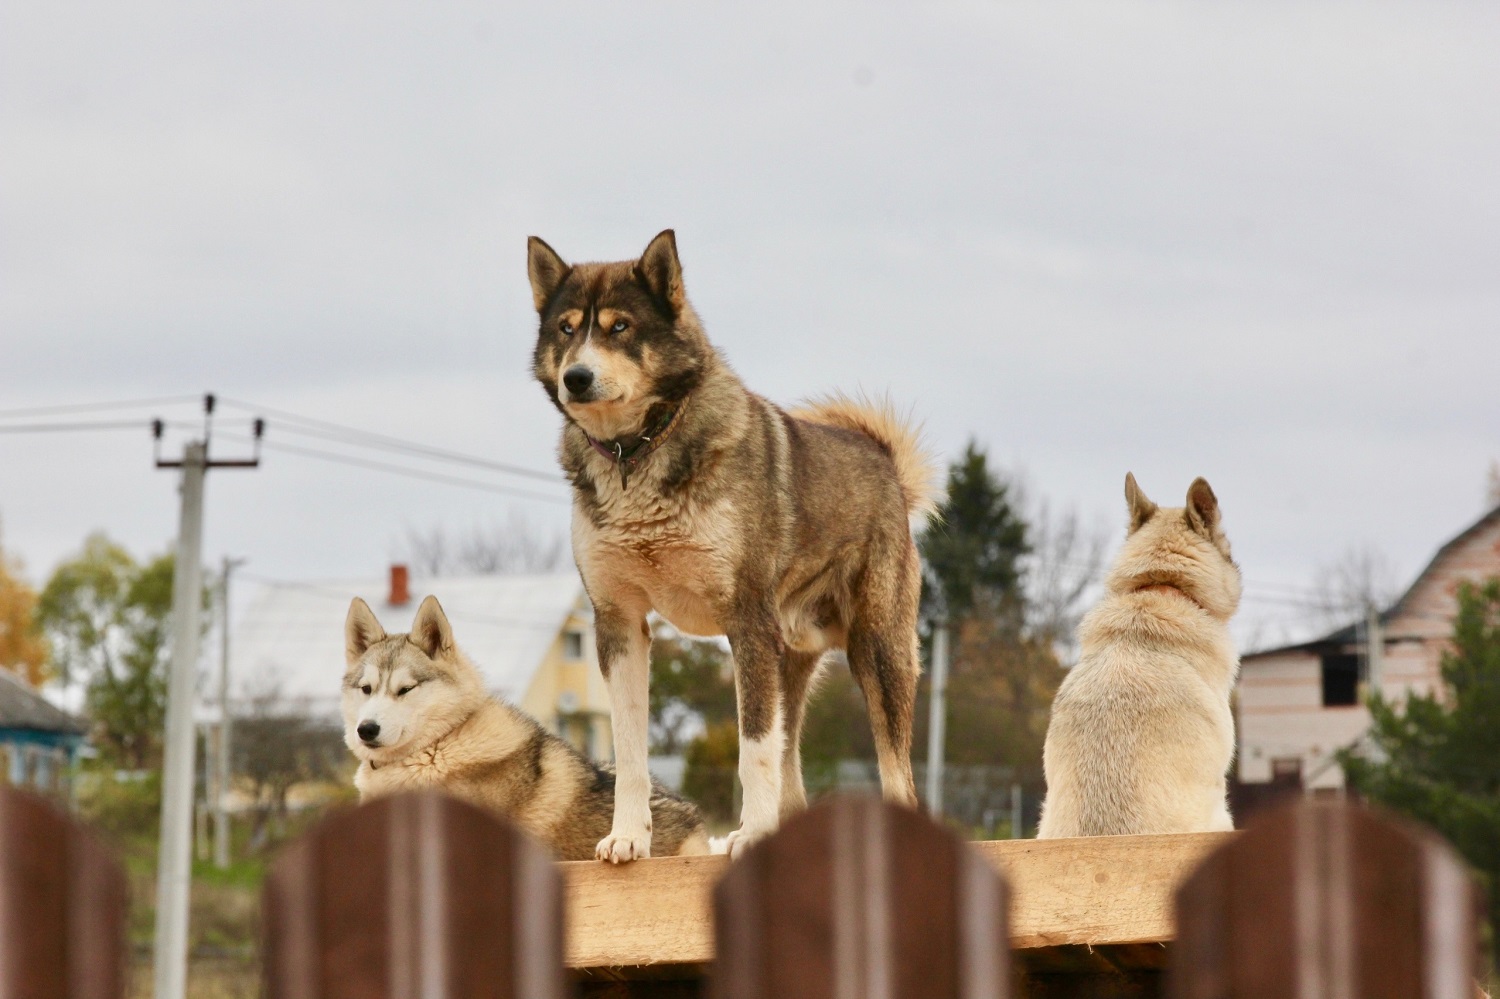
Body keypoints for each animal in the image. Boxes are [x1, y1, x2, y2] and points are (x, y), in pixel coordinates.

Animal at [528, 231, 936, 858]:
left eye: (620, 327)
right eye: (568, 328)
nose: (577, 376)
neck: (638, 452)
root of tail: (885, 464)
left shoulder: (746, 626)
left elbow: (752, 756)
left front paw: (749, 831)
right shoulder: (619, 625)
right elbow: (631, 754)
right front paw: (628, 838)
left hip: (875, 658)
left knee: (896, 776)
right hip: (787, 665)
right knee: (793, 774)